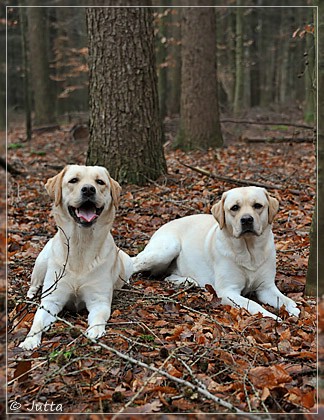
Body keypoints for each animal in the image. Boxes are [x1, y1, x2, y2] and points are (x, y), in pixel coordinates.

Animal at [19, 166, 133, 350]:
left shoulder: (99, 300)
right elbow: (37, 322)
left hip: (127, 261)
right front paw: (30, 340)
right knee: (34, 284)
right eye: (73, 180)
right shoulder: (51, 300)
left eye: (100, 182)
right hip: (41, 262)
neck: (81, 244)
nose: (88, 189)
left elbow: (98, 318)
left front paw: (94, 332)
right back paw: (30, 296)